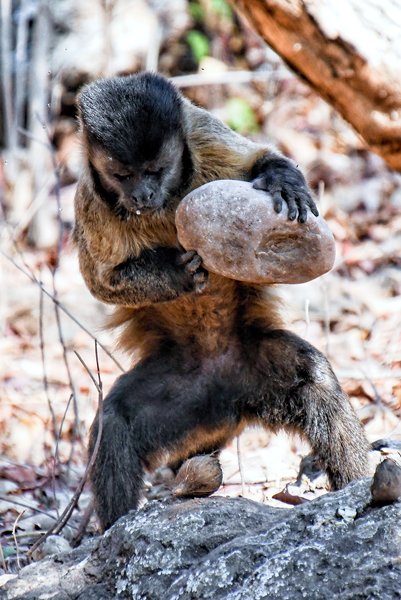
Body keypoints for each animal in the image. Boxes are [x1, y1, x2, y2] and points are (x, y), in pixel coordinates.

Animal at [73, 71, 368, 528]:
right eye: (122, 175)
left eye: (155, 170)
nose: (142, 196)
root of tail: (224, 397)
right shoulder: (91, 200)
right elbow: (101, 282)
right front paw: (175, 274)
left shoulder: (200, 134)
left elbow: (259, 158)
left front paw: (283, 180)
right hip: (182, 396)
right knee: (115, 422)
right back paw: (117, 526)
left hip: (255, 369)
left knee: (314, 379)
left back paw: (360, 490)